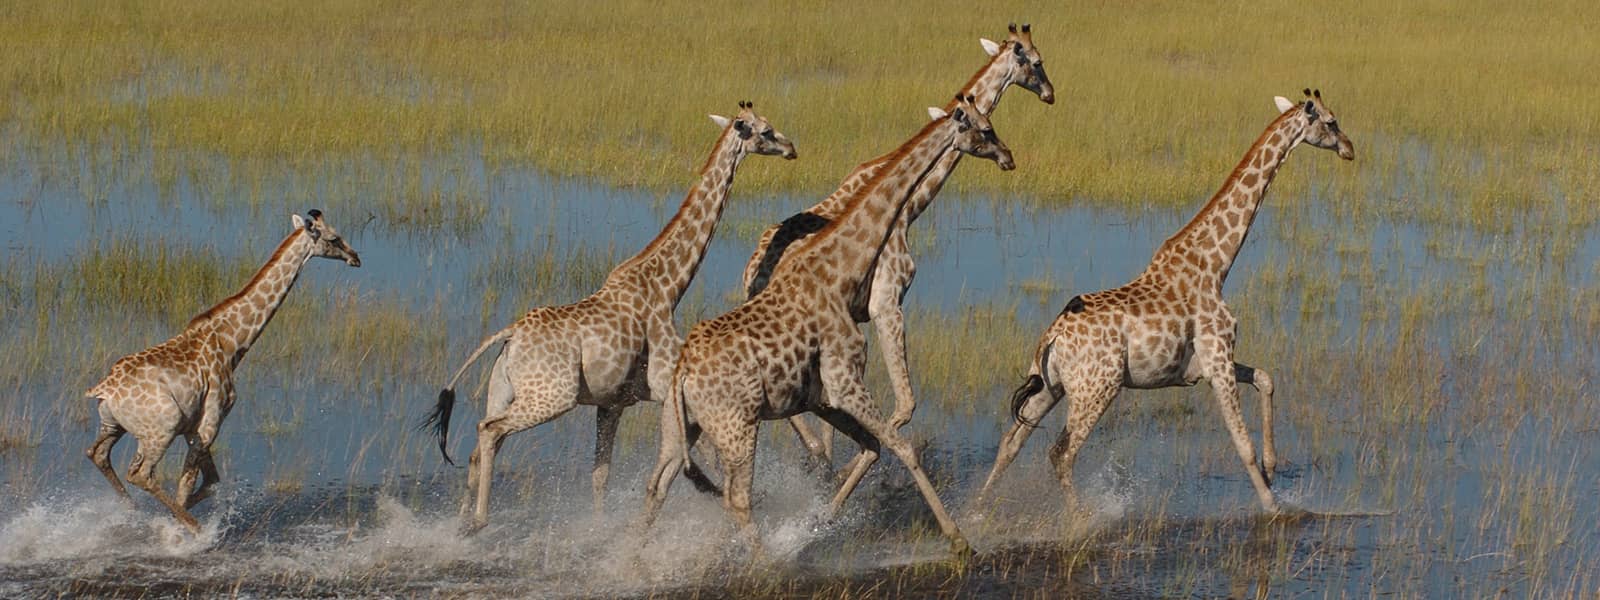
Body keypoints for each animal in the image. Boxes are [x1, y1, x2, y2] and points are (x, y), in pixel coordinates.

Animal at [84, 210, 361, 532]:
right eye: (334, 238)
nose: (355, 257)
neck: (233, 343)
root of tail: (104, 389)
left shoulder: (192, 428)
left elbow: (210, 482)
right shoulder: (210, 421)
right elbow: (189, 486)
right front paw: (183, 529)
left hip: (114, 425)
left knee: (98, 454)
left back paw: (134, 511)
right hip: (162, 429)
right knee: (140, 473)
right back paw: (190, 527)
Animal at [421, 102, 796, 530]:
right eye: (765, 131)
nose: (791, 148)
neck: (667, 287)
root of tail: (509, 335)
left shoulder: (613, 403)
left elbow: (601, 475)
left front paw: (599, 526)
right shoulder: (666, 386)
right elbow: (696, 457)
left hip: (502, 391)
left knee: (479, 447)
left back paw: (462, 522)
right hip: (551, 397)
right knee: (488, 431)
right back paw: (480, 520)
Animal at [640, 95, 1014, 556]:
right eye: (985, 128)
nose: (1008, 157)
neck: (840, 269)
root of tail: (684, 372)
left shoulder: (819, 396)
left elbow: (873, 445)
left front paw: (822, 517)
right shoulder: (845, 382)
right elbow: (902, 446)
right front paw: (959, 539)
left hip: (680, 428)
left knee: (658, 484)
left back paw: (632, 560)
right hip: (736, 428)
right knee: (737, 498)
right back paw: (765, 562)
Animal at [742, 24, 1055, 464]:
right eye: (1037, 61)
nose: (1050, 94)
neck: (911, 206)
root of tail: (752, 270)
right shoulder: (885, 303)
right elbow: (901, 408)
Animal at [974, 90, 1355, 515]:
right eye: (1332, 121)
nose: (1349, 149)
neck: (1216, 264)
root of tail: (1052, 338)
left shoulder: (1206, 364)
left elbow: (1266, 379)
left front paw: (1274, 469)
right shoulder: (1218, 360)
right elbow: (1243, 445)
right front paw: (1273, 508)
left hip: (1050, 386)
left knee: (1010, 442)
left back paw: (977, 513)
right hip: (1098, 388)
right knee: (1061, 453)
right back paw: (1080, 521)